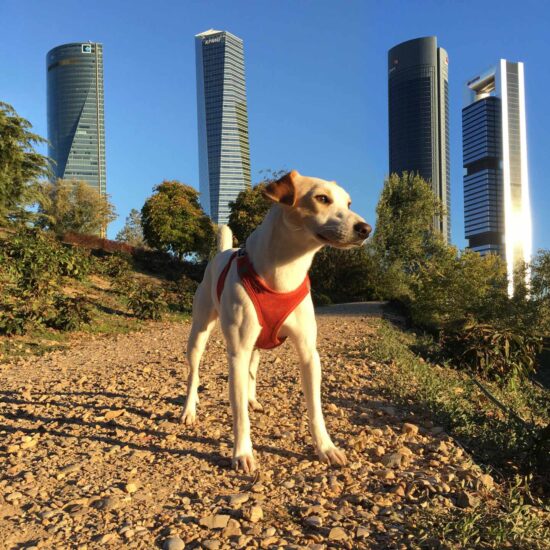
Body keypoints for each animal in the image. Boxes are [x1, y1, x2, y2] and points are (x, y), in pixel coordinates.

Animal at [183, 170, 374, 472]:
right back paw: (189, 409)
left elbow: (315, 409)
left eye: (349, 203)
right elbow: (238, 413)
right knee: (194, 374)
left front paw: (326, 448)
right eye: (322, 198)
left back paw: (252, 399)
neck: (285, 272)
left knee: (251, 371)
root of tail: (222, 253)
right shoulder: (236, 353)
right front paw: (242, 453)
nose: (366, 229)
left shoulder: (309, 354)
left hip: (255, 346)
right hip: (199, 334)